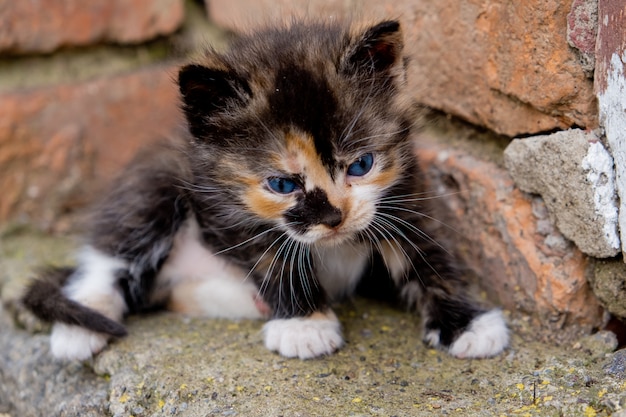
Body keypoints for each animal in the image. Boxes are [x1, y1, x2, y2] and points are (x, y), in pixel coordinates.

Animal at [22, 19, 508, 360]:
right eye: (282, 184)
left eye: (362, 165)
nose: (334, 218)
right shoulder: (225, 210)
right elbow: (274, 257)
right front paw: (305, 323)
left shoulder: (405, 195)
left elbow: (427, 255)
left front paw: (466, 323)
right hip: (156, 180)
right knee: (109, 258)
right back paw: (81, 327)